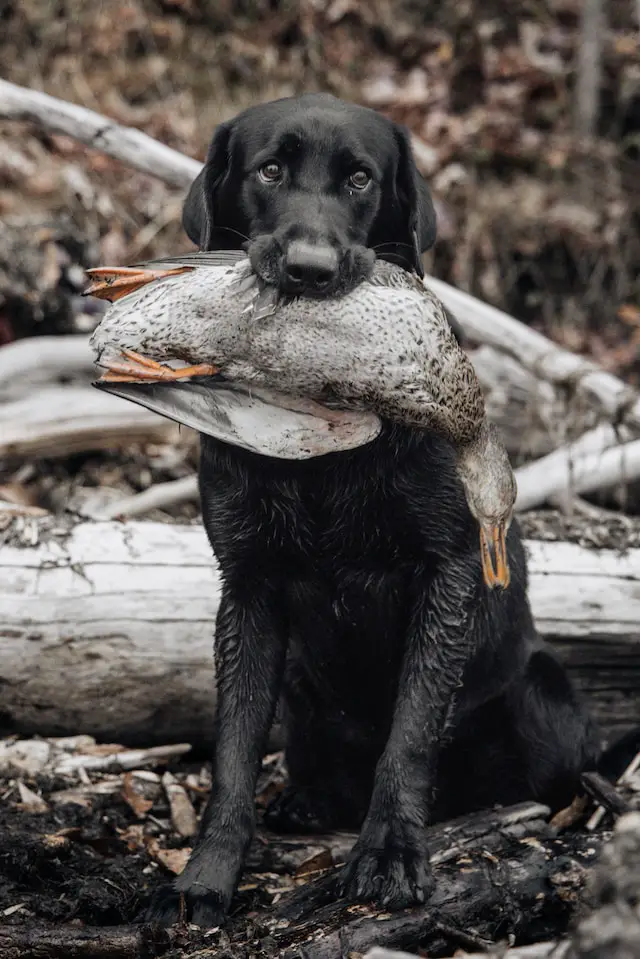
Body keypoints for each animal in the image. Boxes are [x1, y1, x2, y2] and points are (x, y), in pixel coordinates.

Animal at [149, 94, 600, 928]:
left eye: (361, 179)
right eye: (270, 170)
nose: (311, 269)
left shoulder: (446, 573)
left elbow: (411, 730)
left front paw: (388, 853)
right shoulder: (248, 588)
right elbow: (233, 748)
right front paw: (204, 876)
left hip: (541, 692)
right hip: (301, 684)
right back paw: (305, 801)